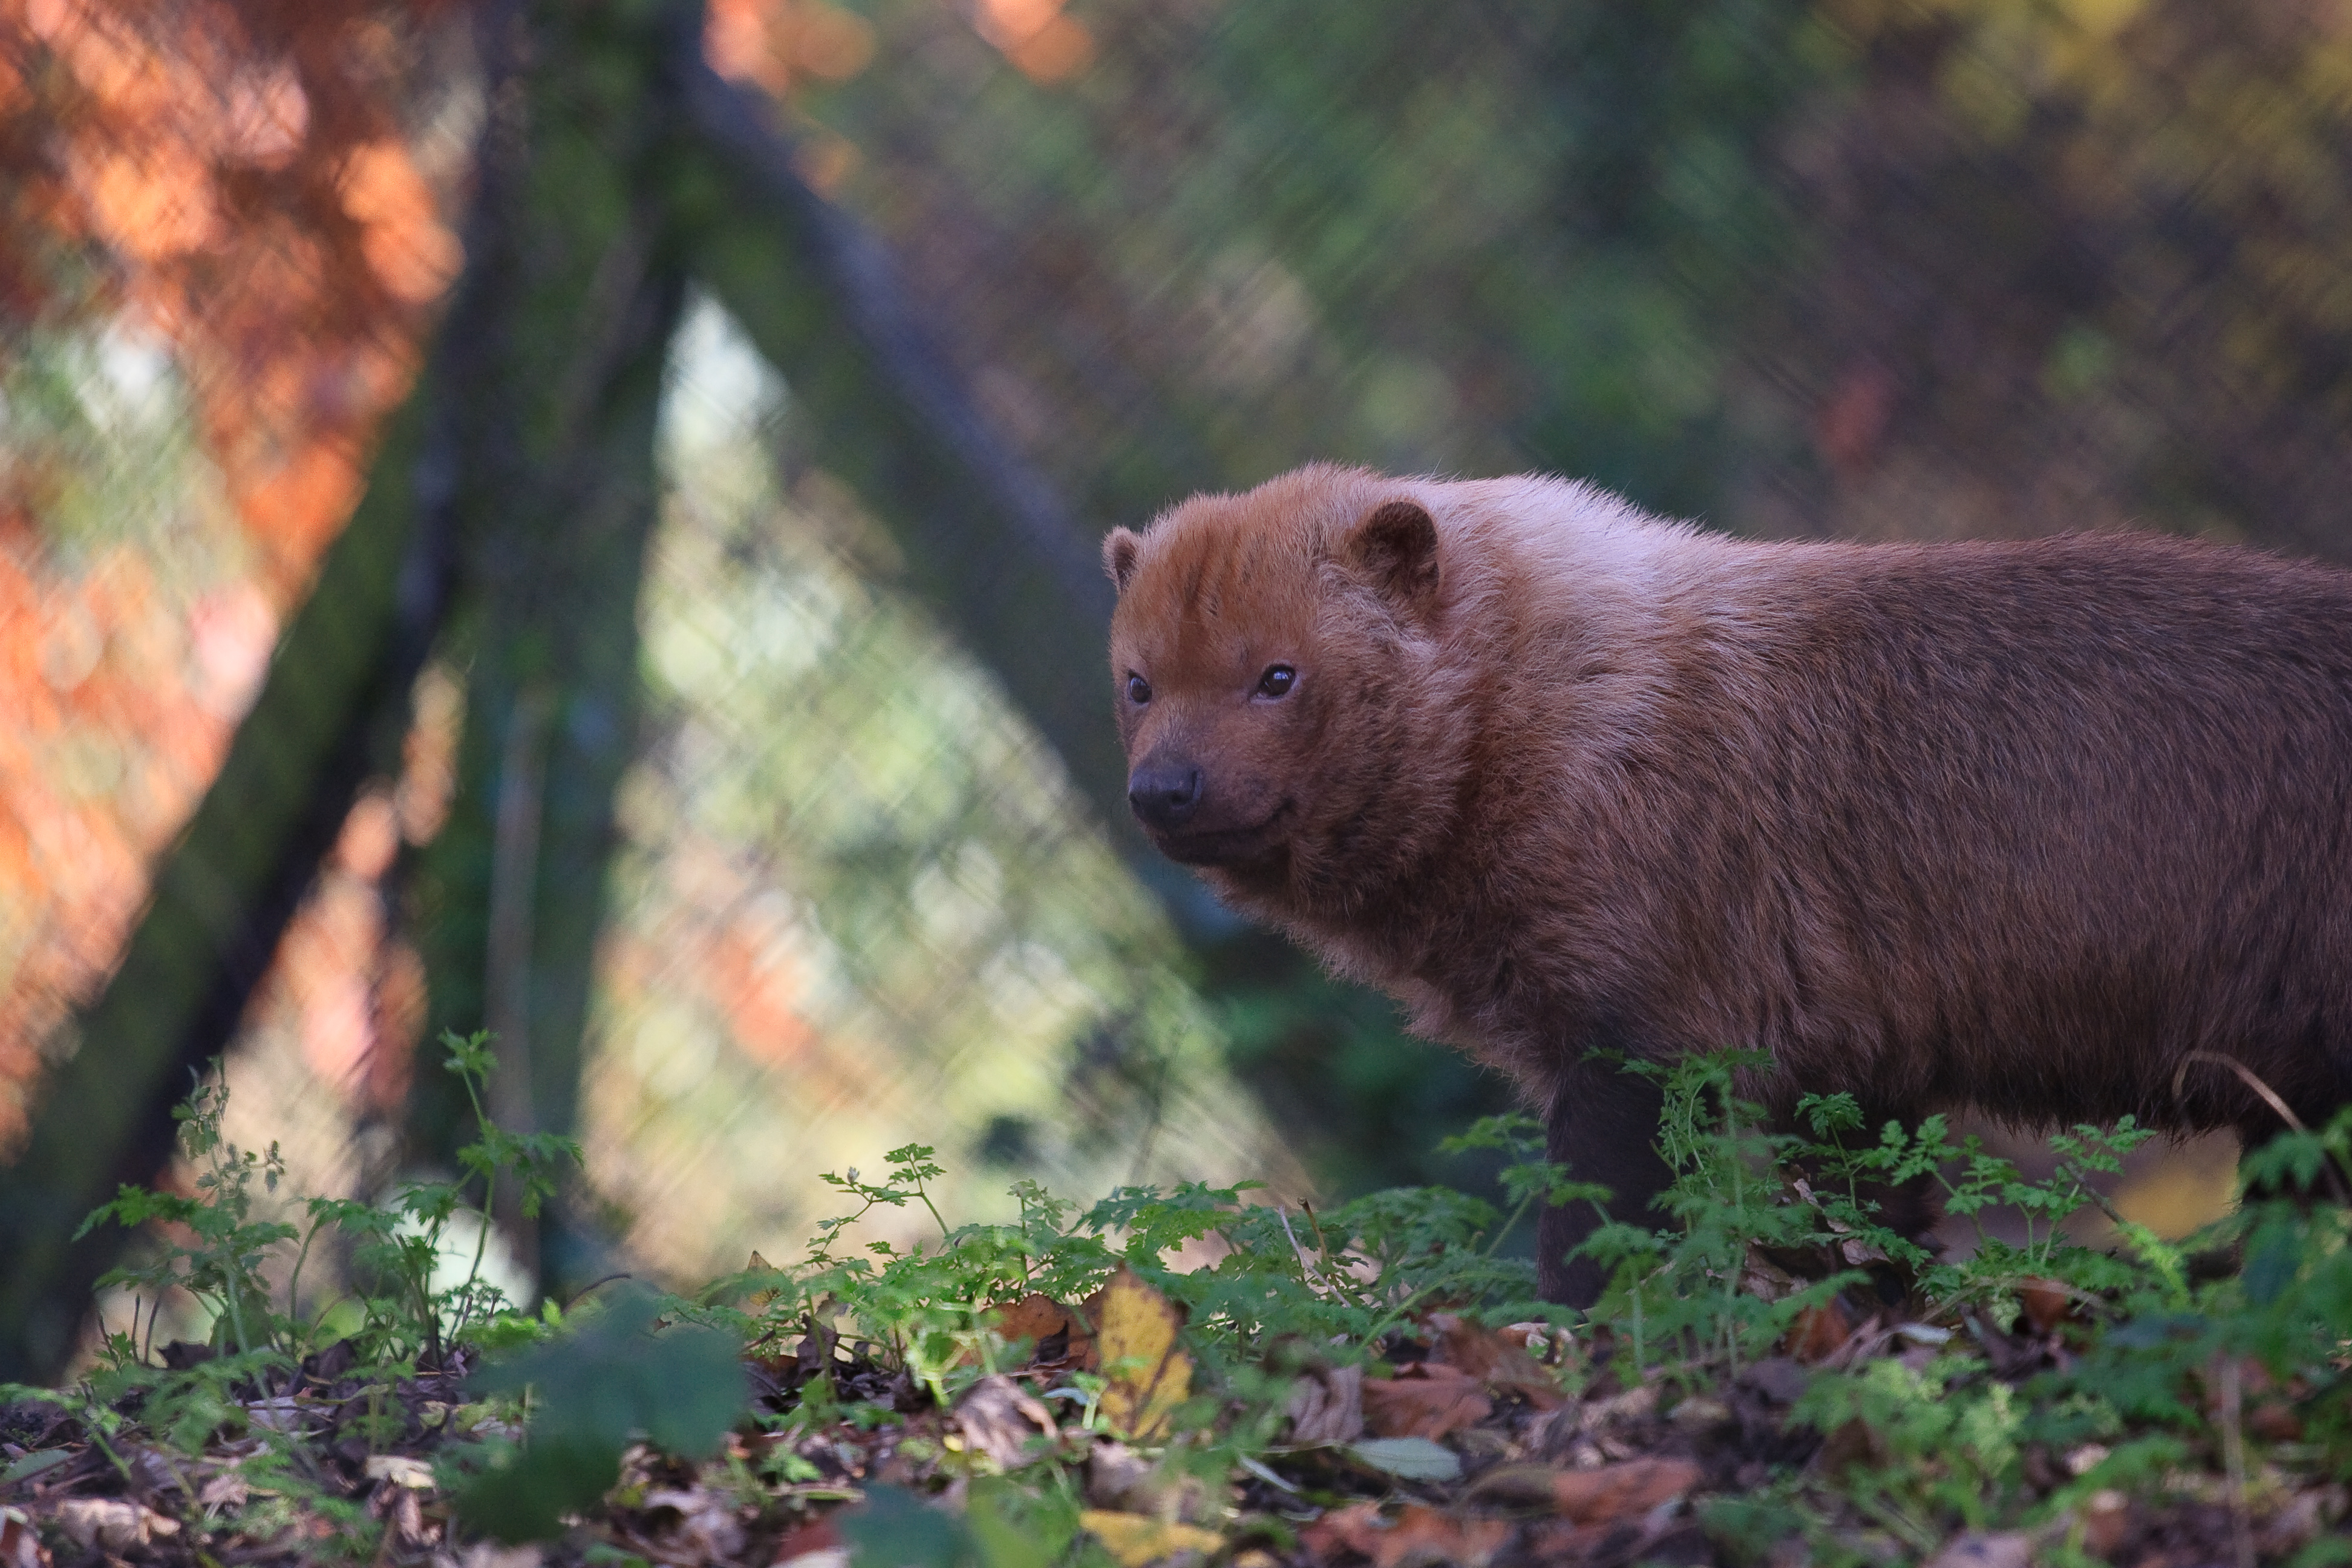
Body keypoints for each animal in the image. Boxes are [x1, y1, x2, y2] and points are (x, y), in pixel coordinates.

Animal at [1110, 465, 2352, 1316]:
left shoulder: (1641, 1042)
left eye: (1277, 675)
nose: (1161, 791)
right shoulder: (1848, 1069)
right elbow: (1874, 1240)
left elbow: (1591, 1238)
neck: (1564, 712)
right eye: (1137, 681)